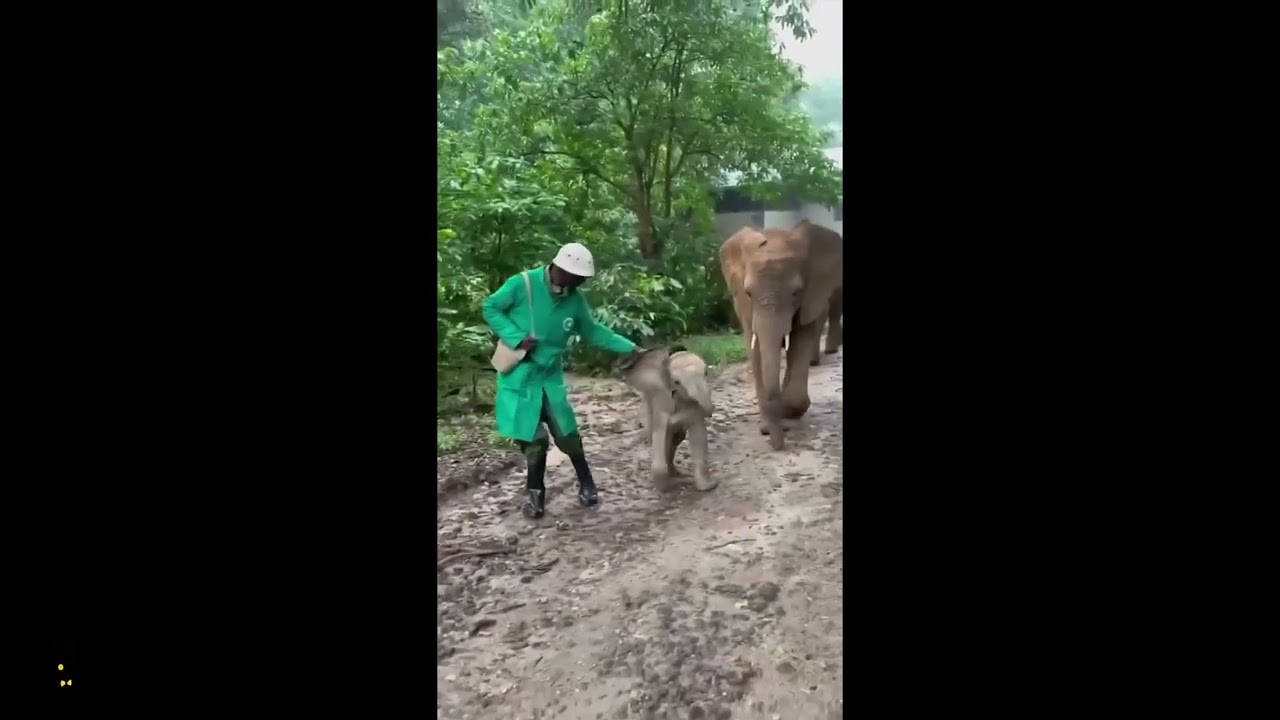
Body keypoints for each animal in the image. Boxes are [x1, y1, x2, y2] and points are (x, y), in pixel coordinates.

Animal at [621, 346, 717, 491]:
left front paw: (708, 486)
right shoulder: (661, 399)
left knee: (674, 441)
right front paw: (664, 488)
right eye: (677, 382)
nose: (710, 413)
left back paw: (675, 474)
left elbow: (698, 435)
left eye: (706, 372)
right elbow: (660, 432)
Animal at [719, 220, 843, 451]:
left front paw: (786, 412)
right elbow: (757, 350)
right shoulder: (746, 308)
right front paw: (768, 426)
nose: (778, 445)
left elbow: (801, 339)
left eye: (796, 293)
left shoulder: (811, 295)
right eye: (748, 293)